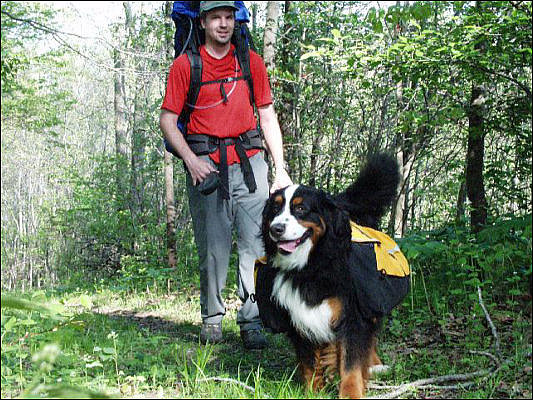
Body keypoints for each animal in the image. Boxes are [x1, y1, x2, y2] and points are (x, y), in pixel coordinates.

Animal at [256, 152, 410, 396]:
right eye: (275, 210)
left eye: (301, 209)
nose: (275, 229)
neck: (311, 267)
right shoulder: (300, 318)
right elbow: (309, 362)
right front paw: (312, 391)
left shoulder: (353, 316)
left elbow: (351, 363)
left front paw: (350, 393)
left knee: (370, 339)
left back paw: (376, 366)